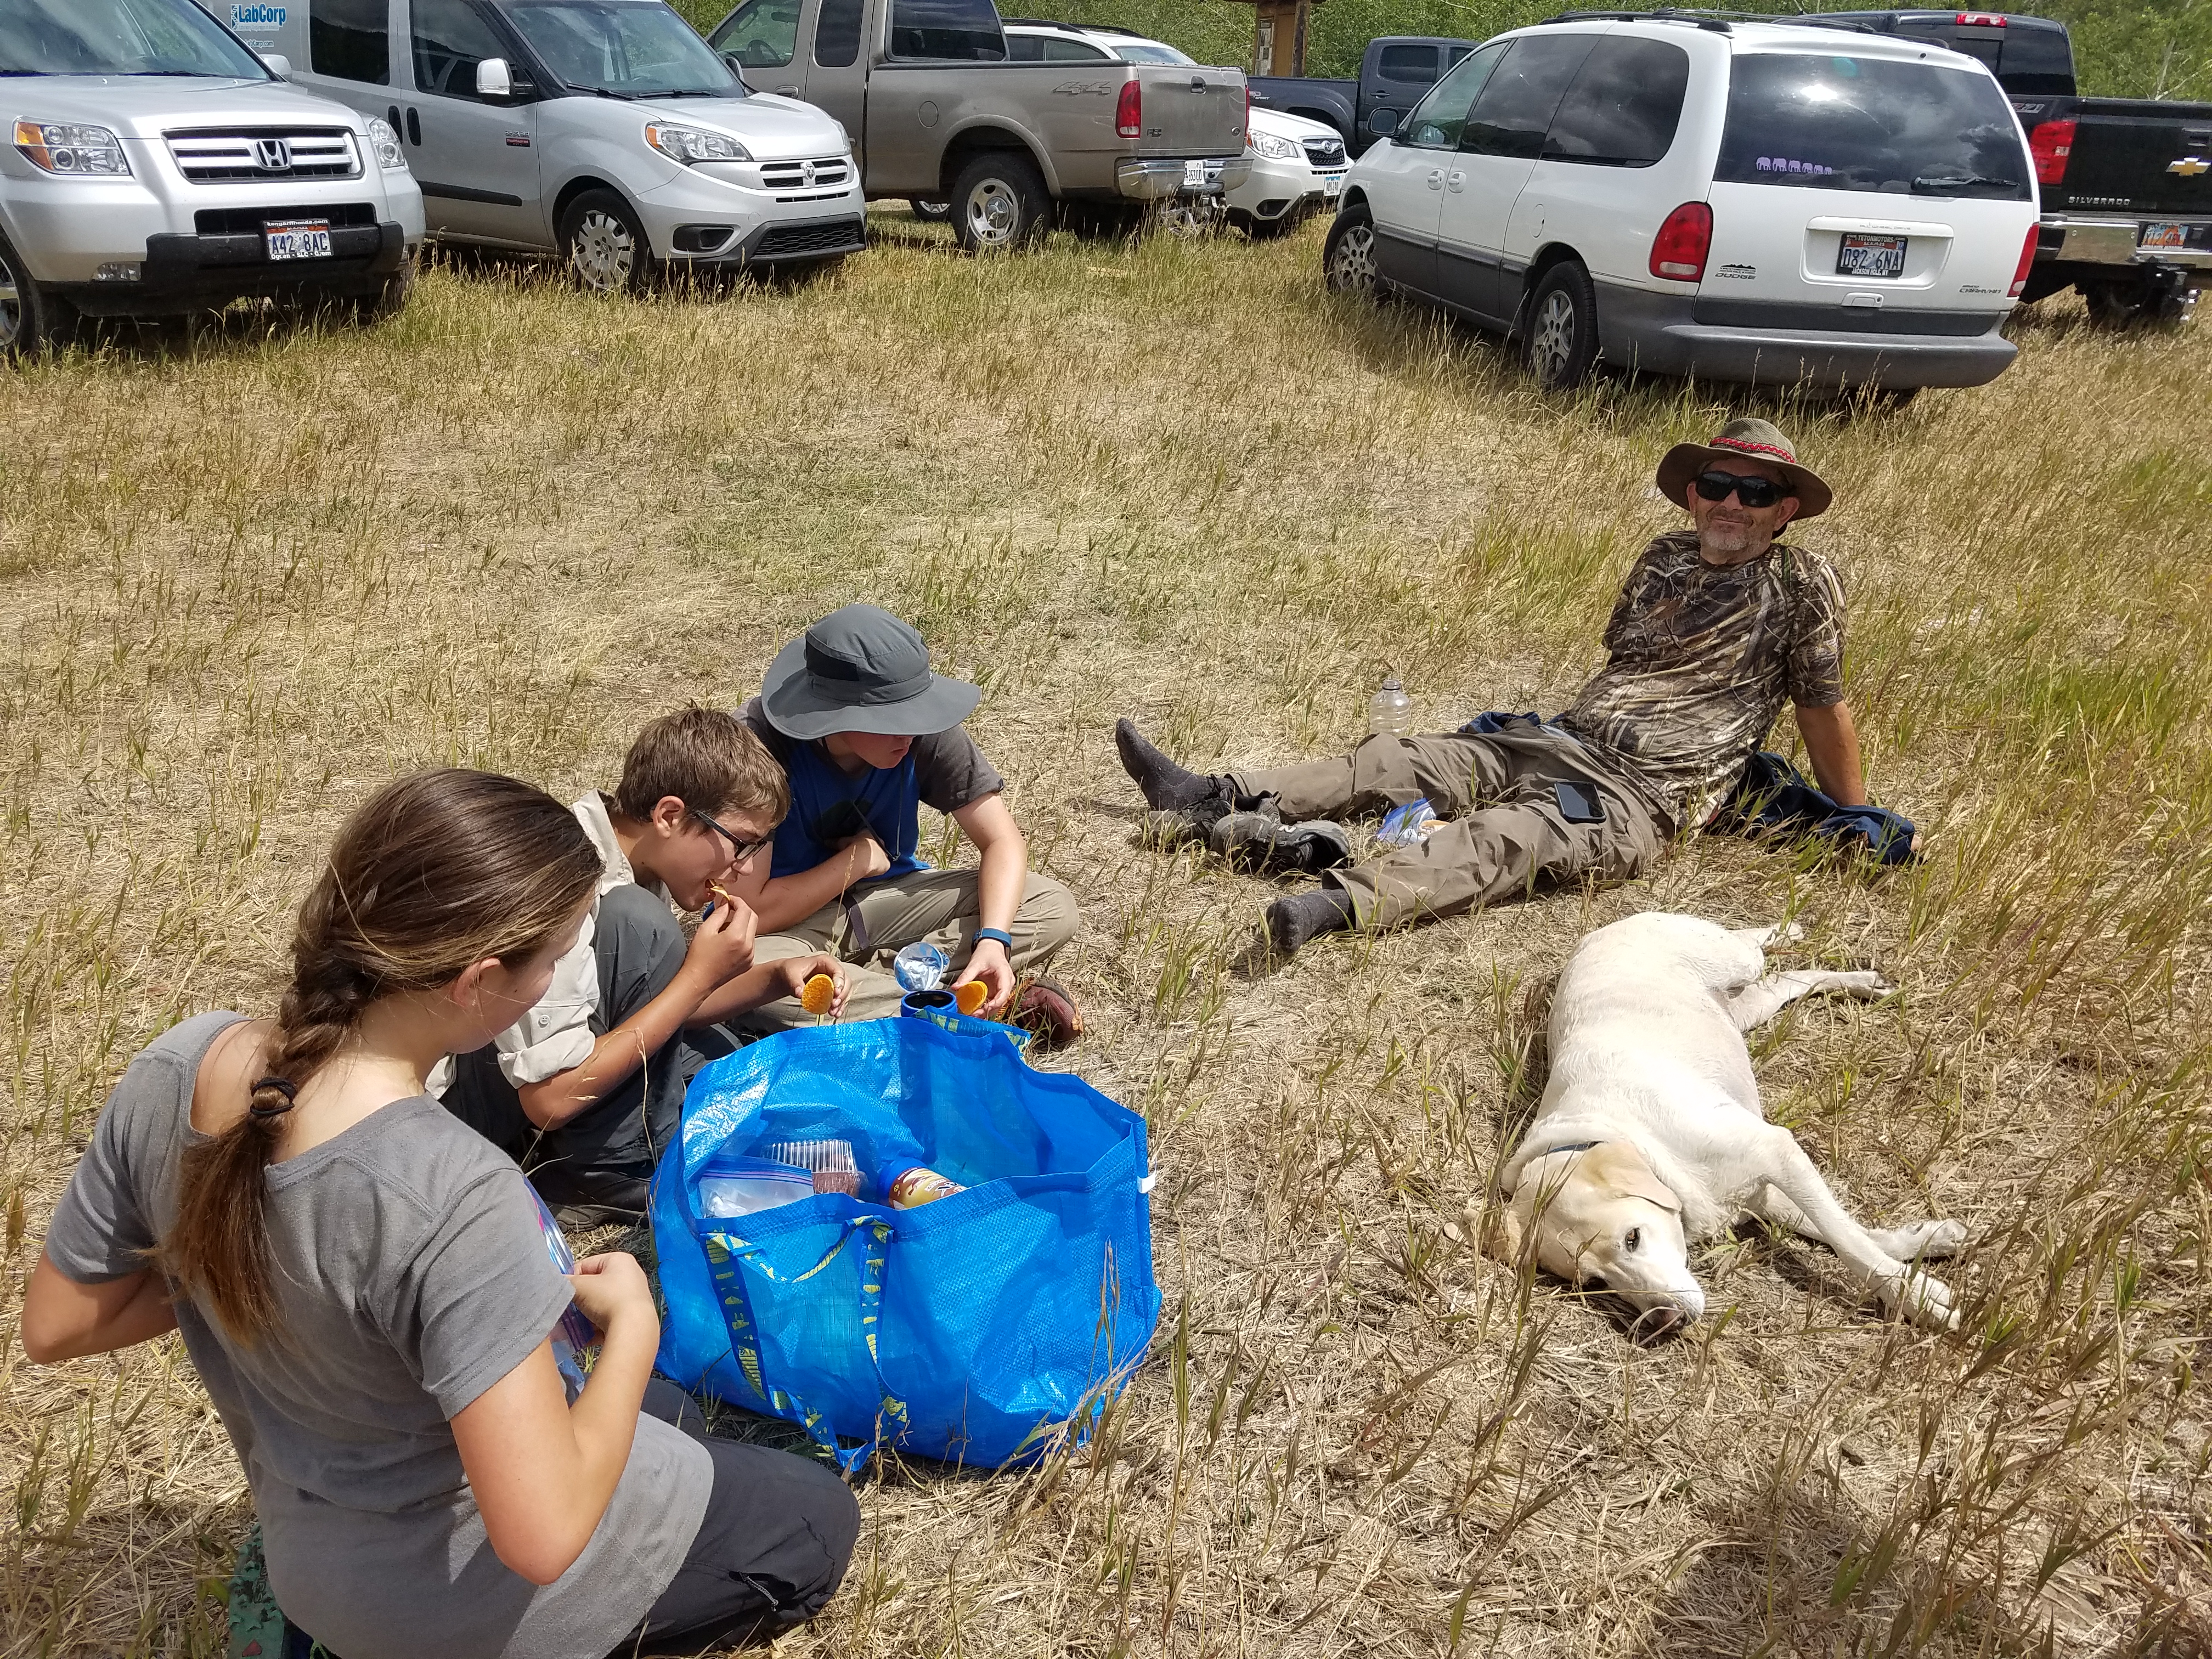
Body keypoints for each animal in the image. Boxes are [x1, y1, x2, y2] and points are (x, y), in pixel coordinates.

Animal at [1486, 916, 1973, 1345]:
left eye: (1632, 1238)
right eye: (1595, 1282)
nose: (1665, 1322)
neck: (1641, 1142)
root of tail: (1602, 929)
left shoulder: (1774, 1151)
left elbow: (1847, 1240)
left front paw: (1918, 1299)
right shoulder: (1755, 1191)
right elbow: (1839, 1229)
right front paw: (1926, 1250)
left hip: (1734, 960)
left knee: (1755, 944)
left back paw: (1790, 932)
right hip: (1745, 1011)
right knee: (1790, 980)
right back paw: (1862, 981)